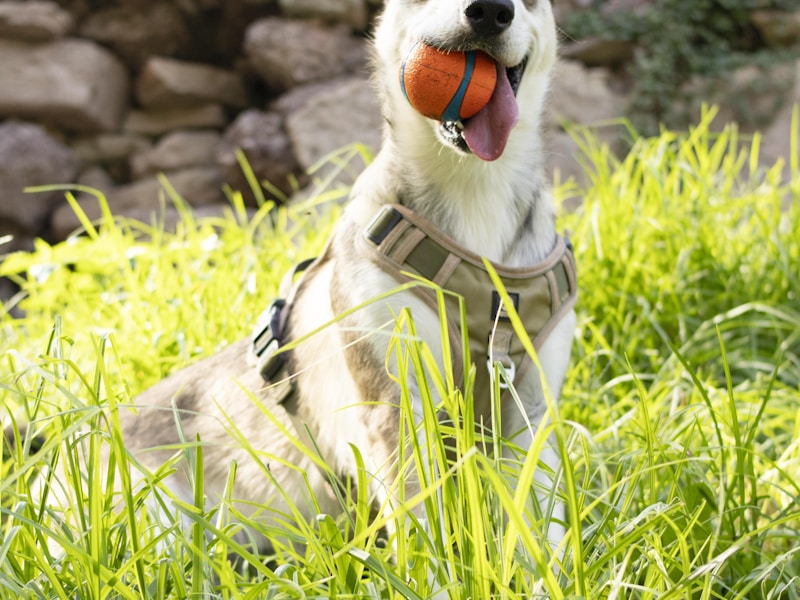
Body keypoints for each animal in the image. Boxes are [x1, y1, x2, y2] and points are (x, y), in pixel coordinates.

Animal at [109, 0, 572, 576]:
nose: (489, 12)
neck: (474, 191)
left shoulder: (531, 408)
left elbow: (541, 526)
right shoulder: (394, 399)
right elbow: (424, 521)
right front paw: (439, 579)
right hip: (160, 529)